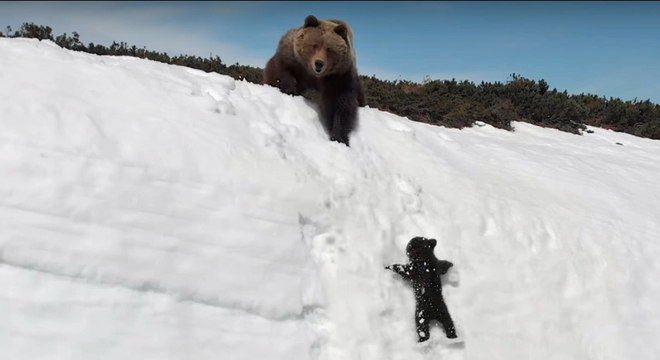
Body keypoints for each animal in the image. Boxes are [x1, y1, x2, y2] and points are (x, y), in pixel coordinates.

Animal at [262, 15, 366, 145]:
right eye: (315, 45)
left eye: (329, 49)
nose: (319, 63)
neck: (314, 76)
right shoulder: (292, 58)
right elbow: (280, 71)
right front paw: (289, 88)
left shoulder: (338, 77)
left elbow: (342, 106)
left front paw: (339, 137)